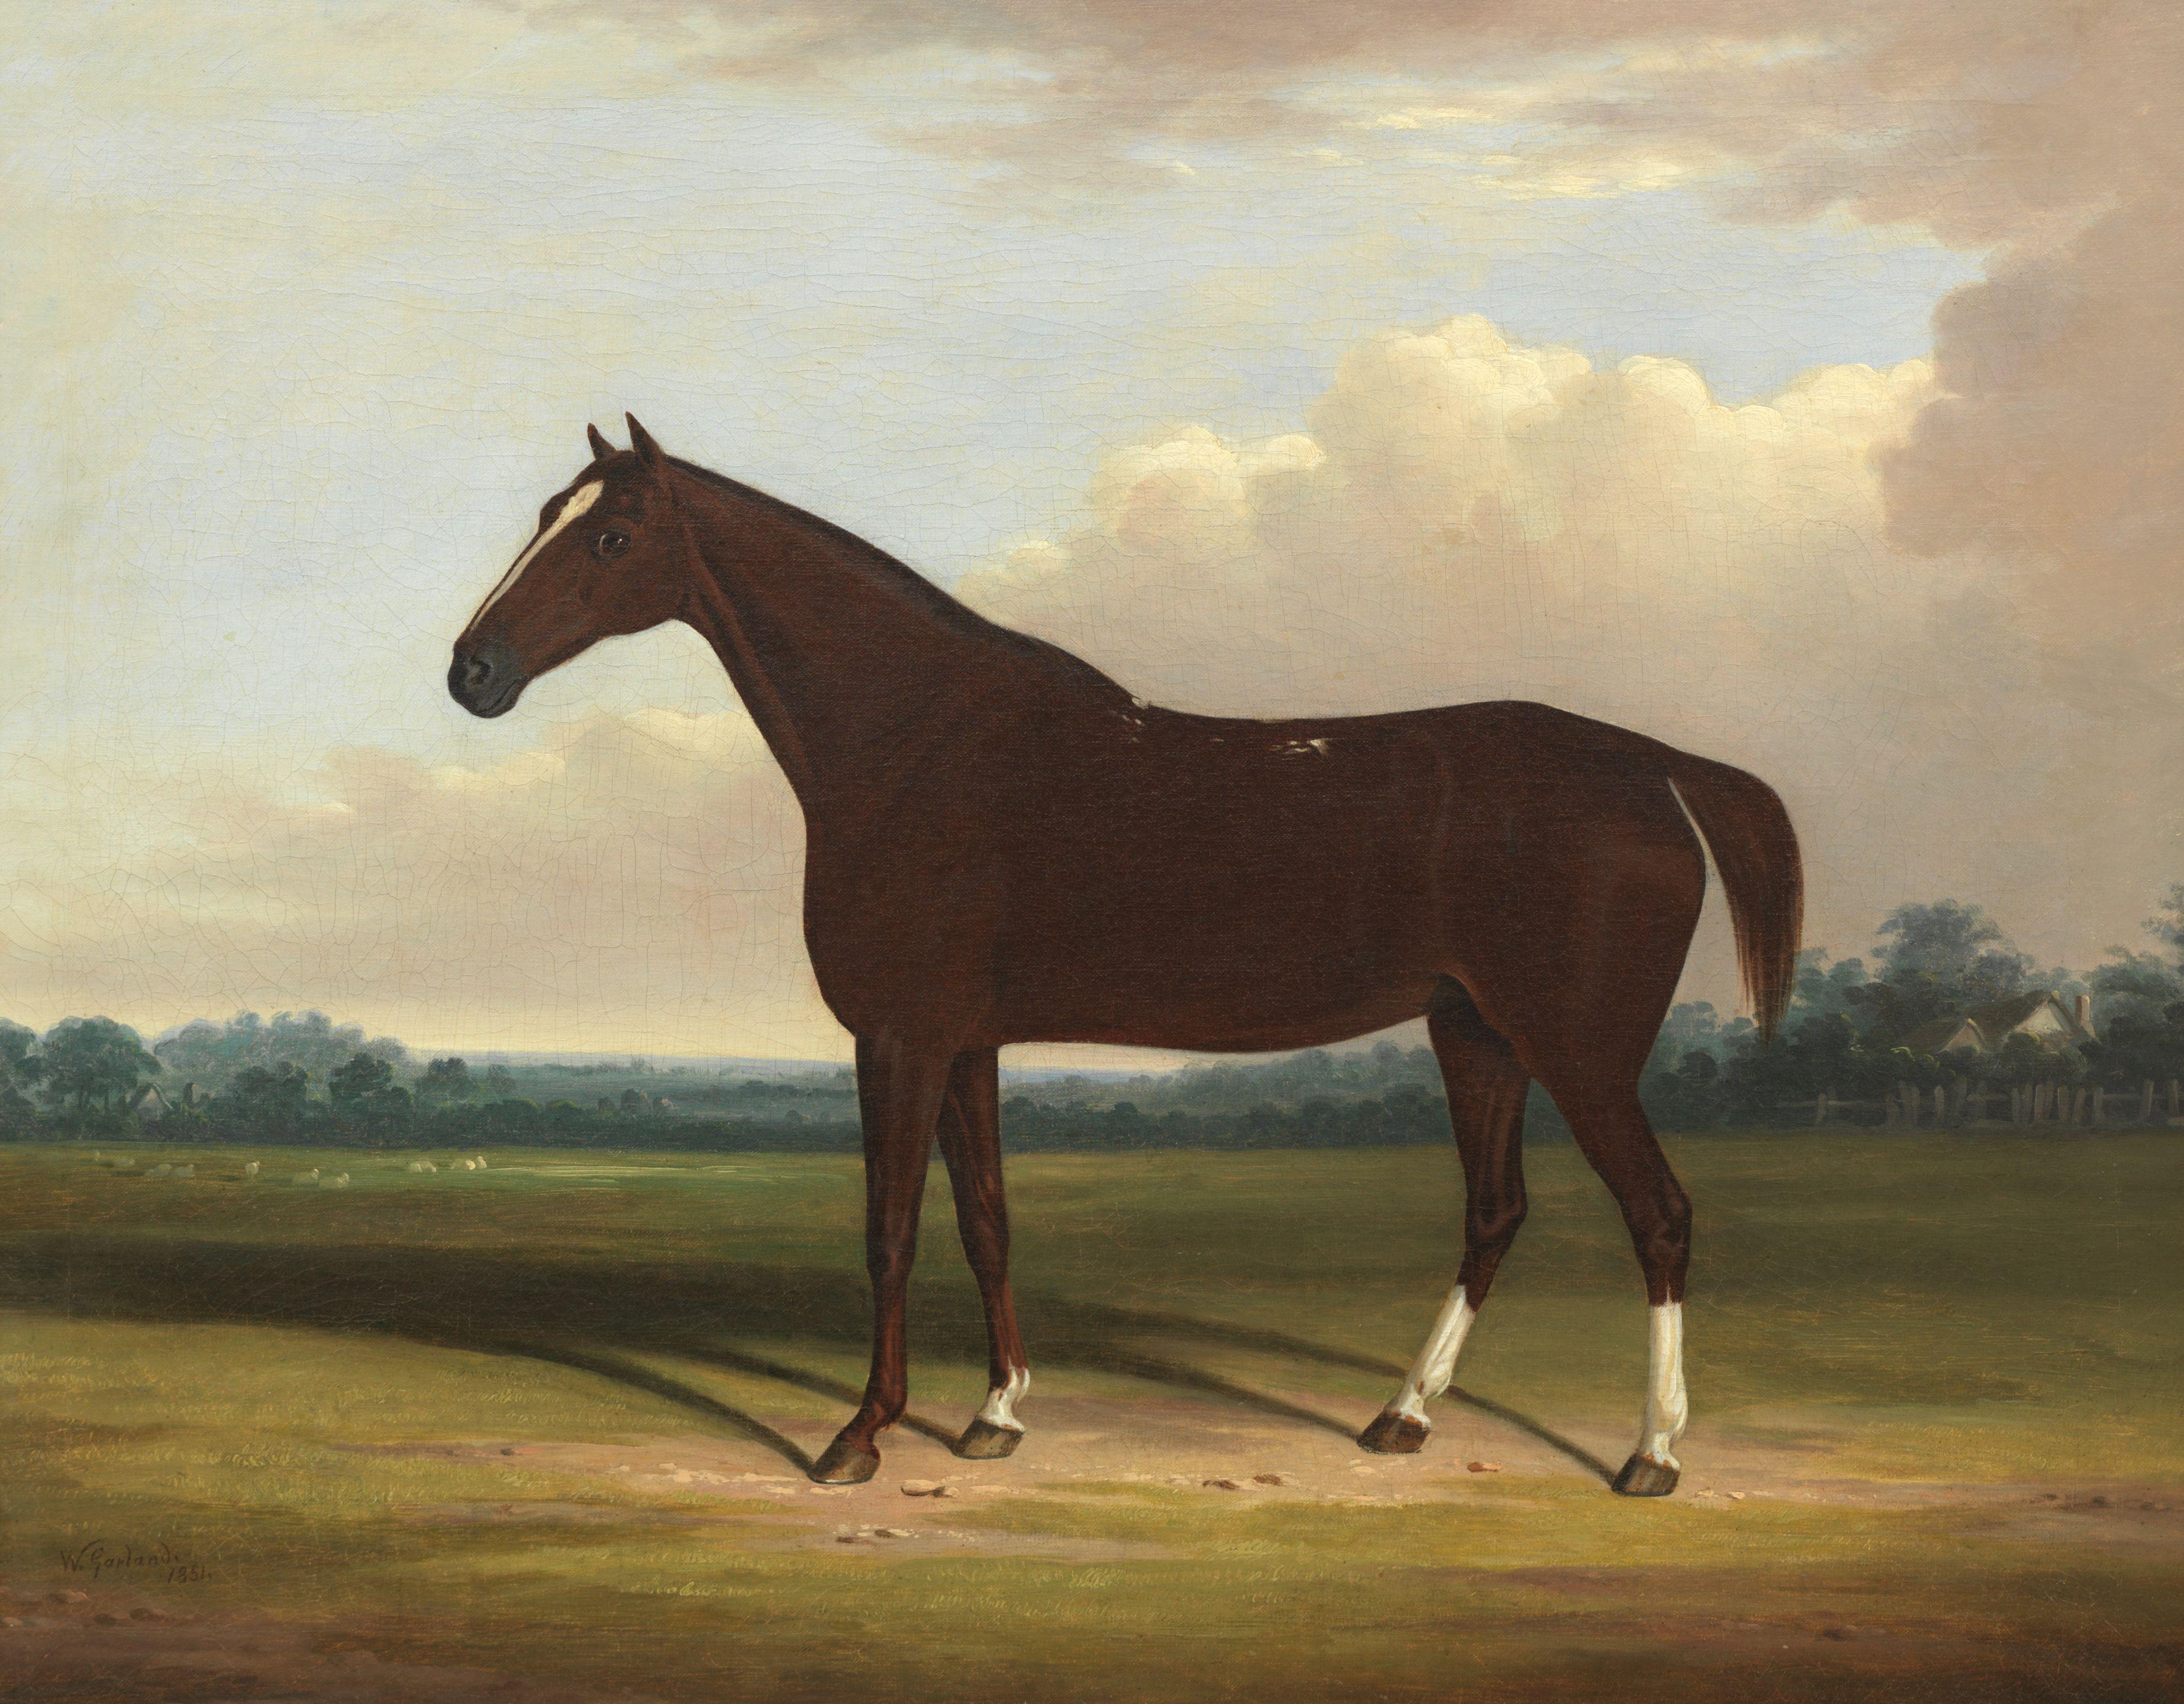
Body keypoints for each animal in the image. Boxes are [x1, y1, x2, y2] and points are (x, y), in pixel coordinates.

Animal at [449, 416, 1802, 1495]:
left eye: (610, 539)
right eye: (543, 516)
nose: (473, 671)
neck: (923, 744)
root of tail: (1649, 763)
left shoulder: (900, 1038)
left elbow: (890, 1233)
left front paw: (859, 1437)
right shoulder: (967, 1043)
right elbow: (986, 1220)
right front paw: (994, 1417)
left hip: (1582, 1052)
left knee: (1660, 1219)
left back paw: (1650, 1456)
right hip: (1474, 1034)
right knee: (1493, 1212)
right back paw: (1399, 1420)